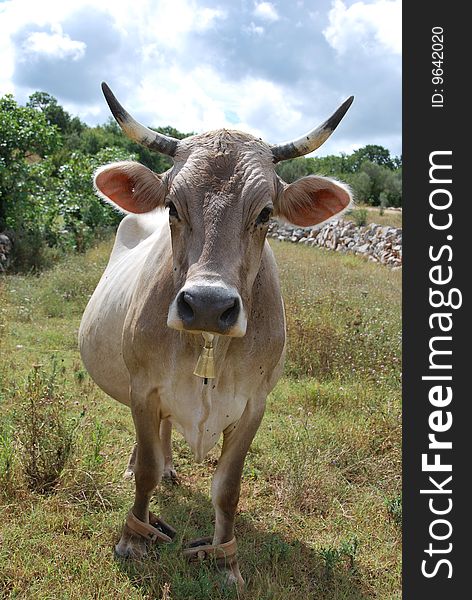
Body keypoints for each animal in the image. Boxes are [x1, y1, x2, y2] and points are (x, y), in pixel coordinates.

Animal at [79, 83, 352, 584]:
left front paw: (225, 559)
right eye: (172, 205)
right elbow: (146, 471)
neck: (209, 348)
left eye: (265, 213)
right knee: (151, 444)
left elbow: (228, 487)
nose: (207, 304)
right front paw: (133, 538)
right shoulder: (144, 389)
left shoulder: (253, 405)